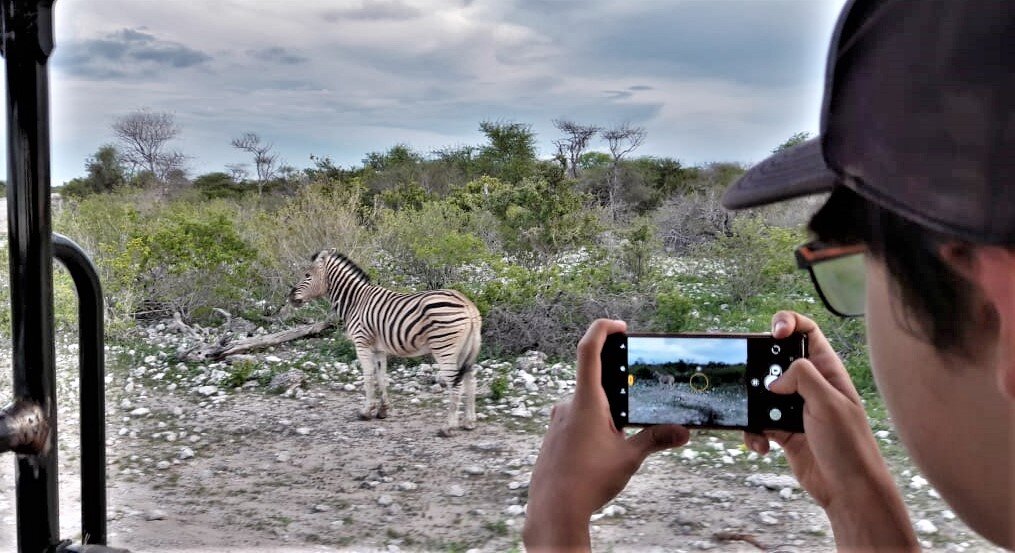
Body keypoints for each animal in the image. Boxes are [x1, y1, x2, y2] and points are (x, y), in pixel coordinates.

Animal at [288, 248, 481, 436]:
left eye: (307, 275)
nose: (289, 297)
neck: (355, 301)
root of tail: (467, 304)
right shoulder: (378, 349)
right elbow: (381, 377)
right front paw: (383, 410)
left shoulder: (362, 343)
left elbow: (368, 376)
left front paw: (366, 411)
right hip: (466, 350)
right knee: (471, 380)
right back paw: (469, 422)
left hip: (444, 347)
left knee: (456, 383)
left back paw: (448, 428)